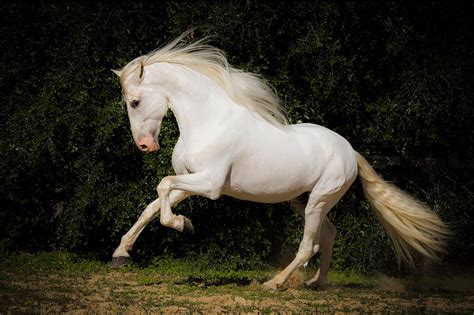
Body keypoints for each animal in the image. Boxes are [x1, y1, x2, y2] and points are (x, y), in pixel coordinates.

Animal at [110, 32, 448, 292]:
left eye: (135, 102)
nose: (145, 146)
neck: (208, 121)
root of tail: (350, 151)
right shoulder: (191, 182)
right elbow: (154, 204)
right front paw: (120, 254)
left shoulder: (210, 183)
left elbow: (162, 187)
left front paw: (184, 225)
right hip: (305, 200)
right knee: (328, 235)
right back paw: (316, 283)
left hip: (319, 199)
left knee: (308, 245)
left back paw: (275, 283)